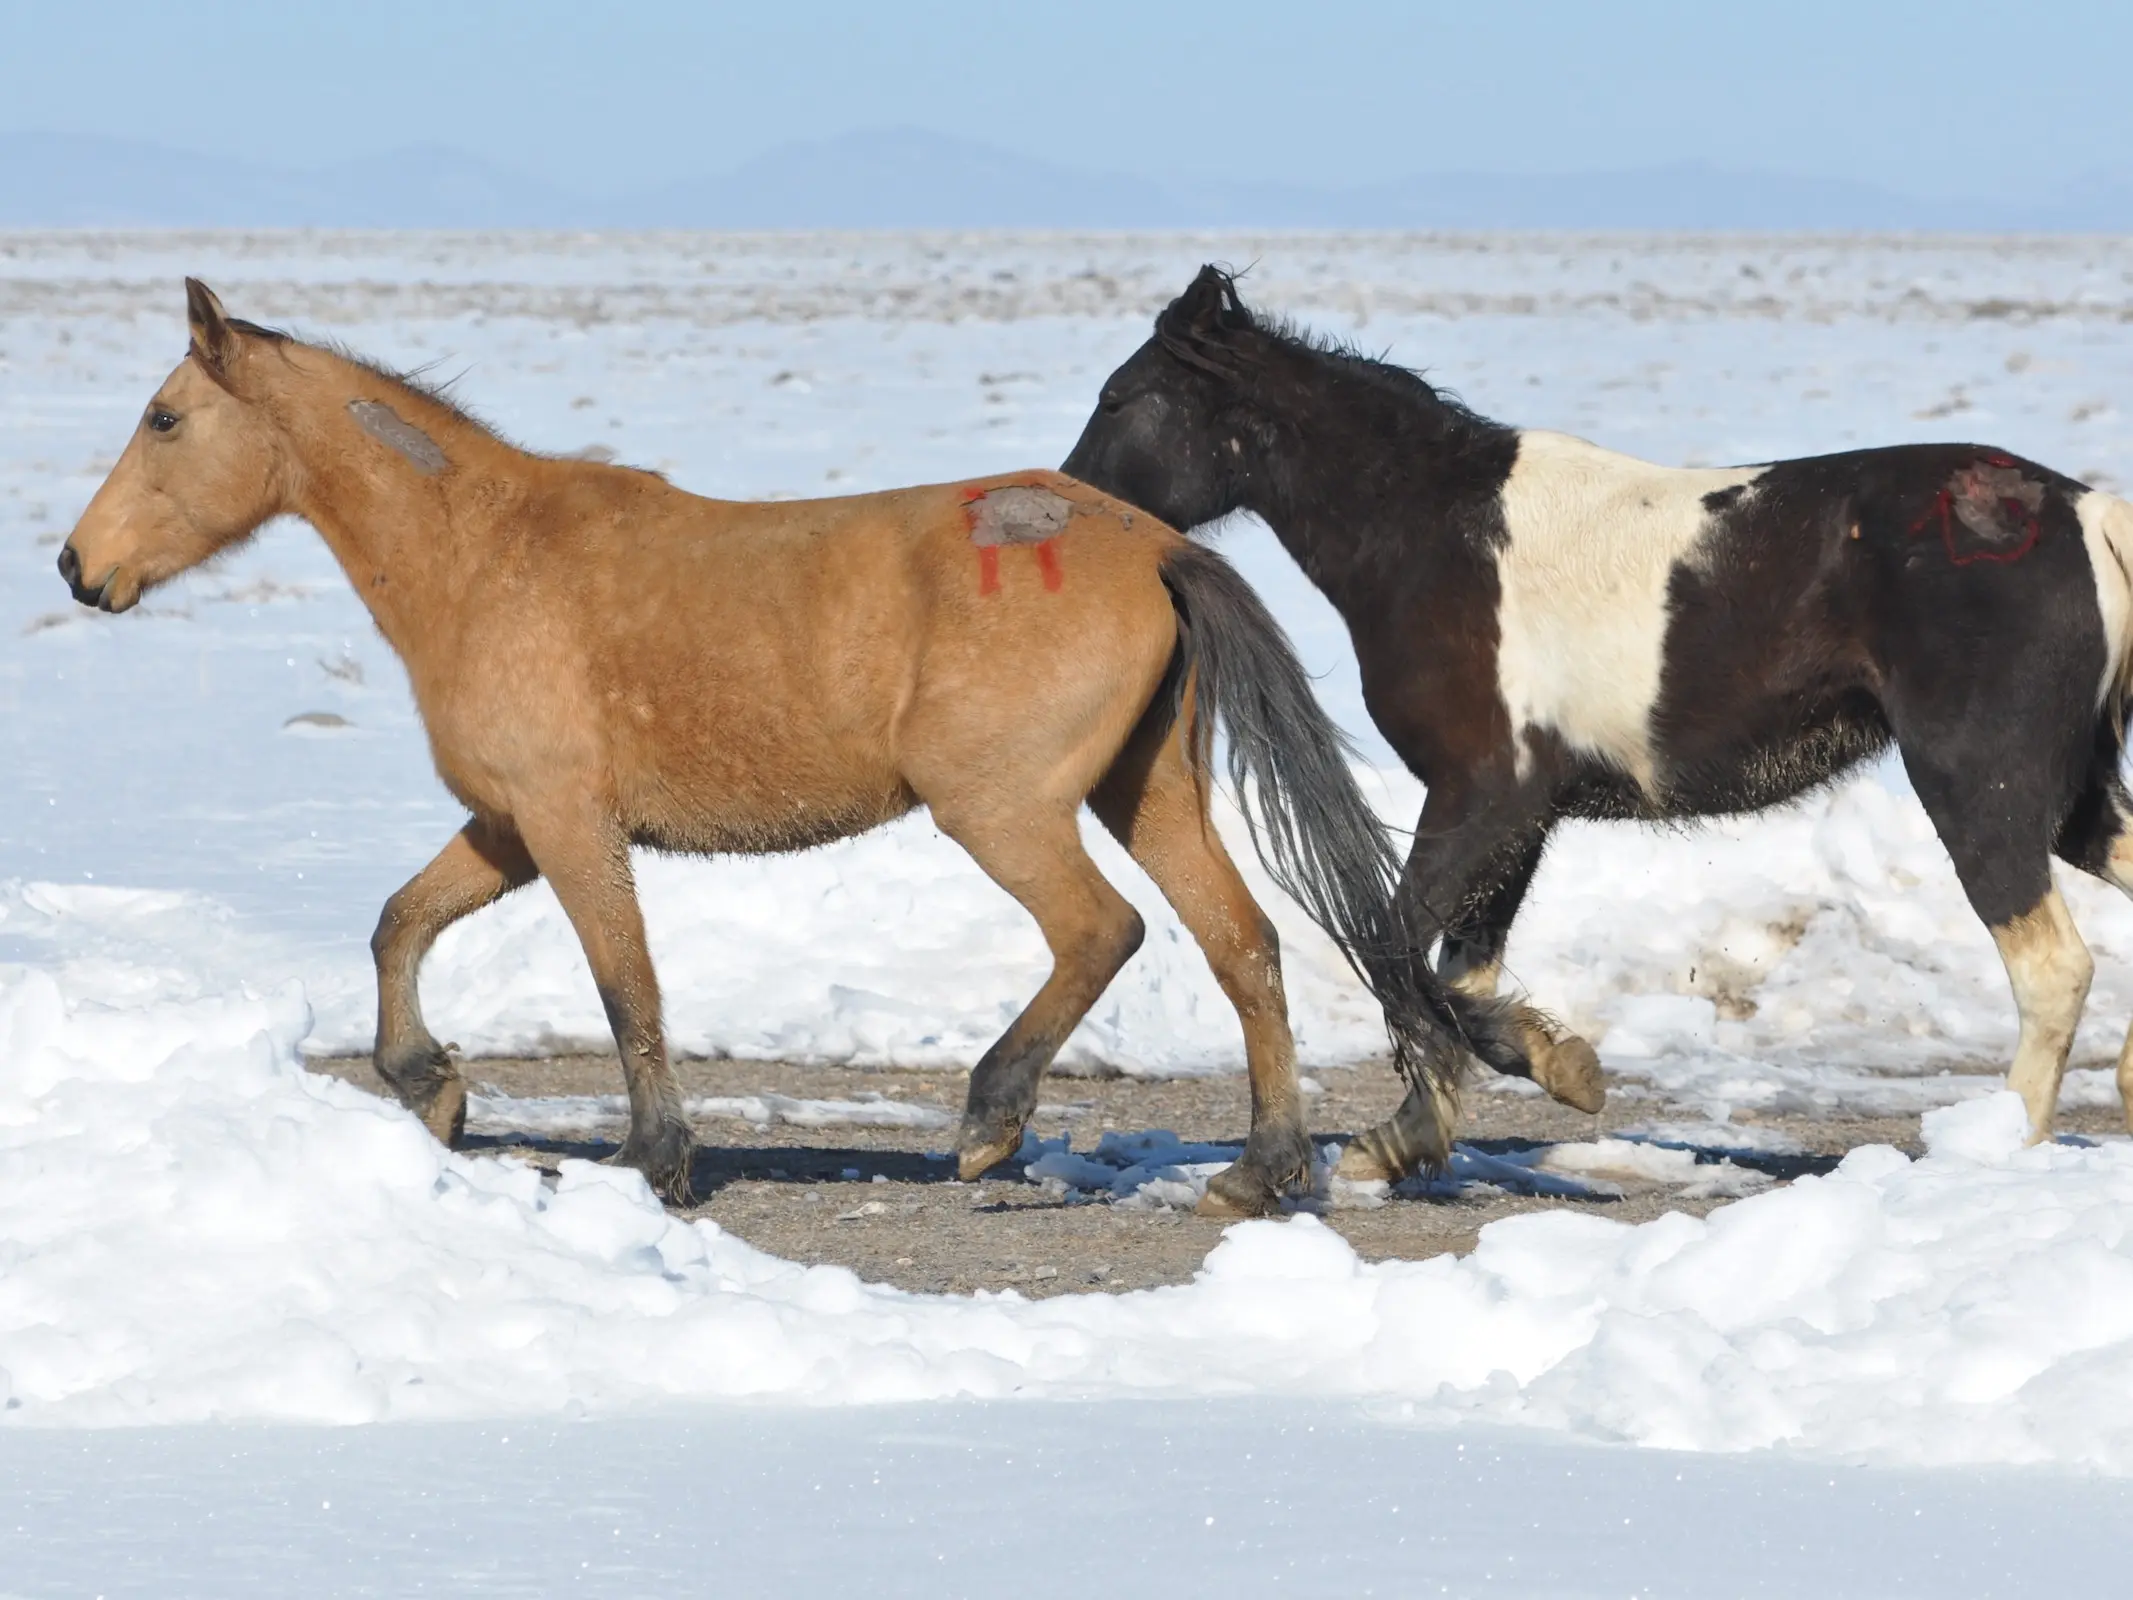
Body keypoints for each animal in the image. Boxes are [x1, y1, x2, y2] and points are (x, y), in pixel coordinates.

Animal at [58, 281, 1544, 1211]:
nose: (79, 568)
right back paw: (1259, 1168)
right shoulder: (507, 826)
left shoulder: (568, 826)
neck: (485, 558)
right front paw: (434, 1090)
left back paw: (990, 1123)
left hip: (1000, 805)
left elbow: (628, 988)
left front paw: (656, 1162)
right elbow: (397, 921)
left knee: (1102, 932)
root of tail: (1159, 547)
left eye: (165, 418)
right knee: (1245, 945)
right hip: (1147, 792)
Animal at [1066, 269, 2133, 1186]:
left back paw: (2001, 1147)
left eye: (1118, 399)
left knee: (2052, 969)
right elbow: (1454, 966)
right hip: (2069, 799)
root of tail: (2088, 515)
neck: (1432, 535)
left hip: (1977, 786)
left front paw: (1554, 1065)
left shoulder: (1484, 794)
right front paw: (1408, 1141)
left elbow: (1395, 947)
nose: (1065, 501)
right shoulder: (1521, 818)